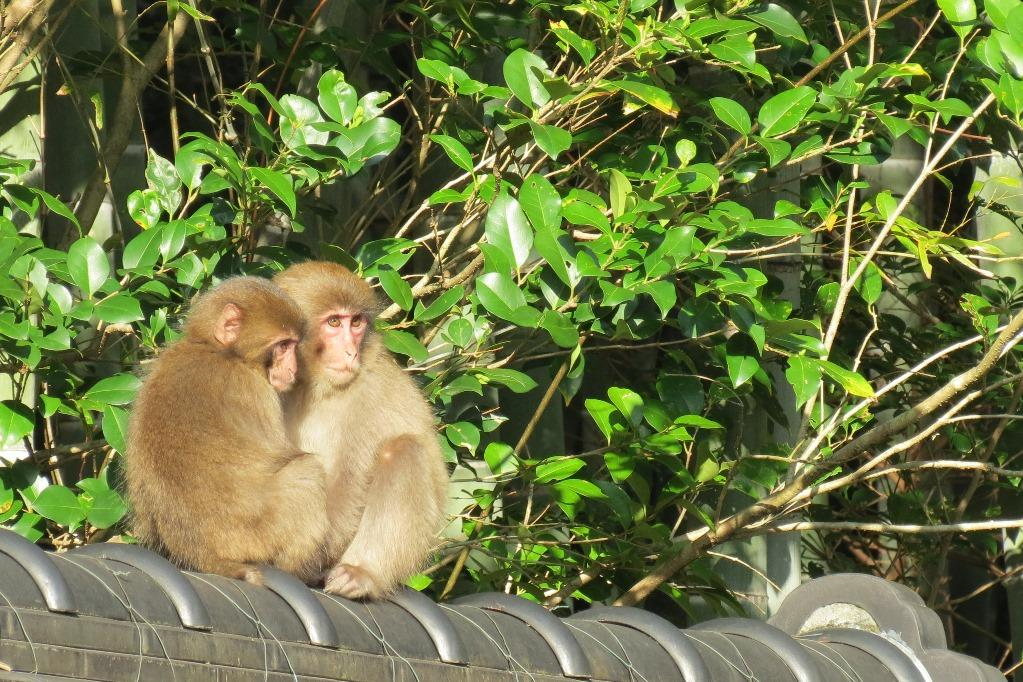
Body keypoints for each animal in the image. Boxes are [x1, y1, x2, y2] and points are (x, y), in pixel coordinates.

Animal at [122, 274, 327, 584]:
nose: (292, 369)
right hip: (255, 536)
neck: (218, 350)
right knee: (307, 472)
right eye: (283, 345)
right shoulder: (253, 388)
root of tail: (201, 553)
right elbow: (286, 456)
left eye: (293, 344)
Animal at [272, 263, 448, 601]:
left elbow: (349, 484)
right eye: (333, 322)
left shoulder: (370, 391)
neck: (310, 386)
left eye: (355, 322)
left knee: (403, 450)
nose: (351, 352)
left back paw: (361, 574)